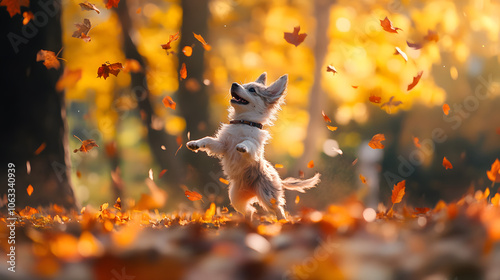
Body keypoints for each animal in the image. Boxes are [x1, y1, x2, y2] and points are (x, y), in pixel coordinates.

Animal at [187, 72, 320, 221]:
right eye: (242, 85)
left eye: (252, 90)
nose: (234, 84)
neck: (243, 122)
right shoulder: (222, 145)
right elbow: (208, 139)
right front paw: (195, 143)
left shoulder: (254, 148)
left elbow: (248, 142)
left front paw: (242, 146)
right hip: (235, 197)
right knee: (250, 210)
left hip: (268, 195)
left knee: (278, 209)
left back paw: (282, 221)